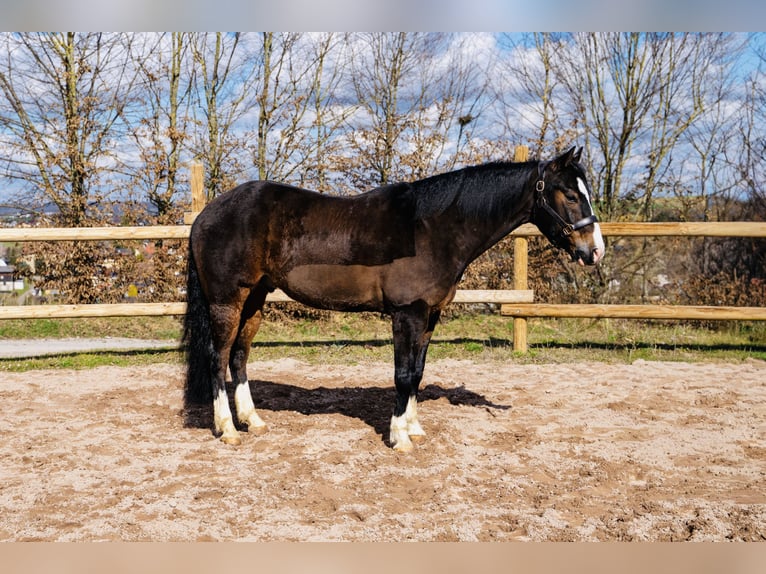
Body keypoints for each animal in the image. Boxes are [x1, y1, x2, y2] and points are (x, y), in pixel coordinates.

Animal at [183, 146, 605, 452]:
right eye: (570, 194)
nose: (595, 251)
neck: (434, 228)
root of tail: (206, 214)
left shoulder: (430, 315)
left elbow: (417, 373)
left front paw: (414, 428)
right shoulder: (408, 314)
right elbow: (403, 375)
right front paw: (399, 438)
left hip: (255, 299)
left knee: (239, 357)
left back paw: (252, 421)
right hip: (227, 301)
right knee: (218, 359)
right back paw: (227, 429)